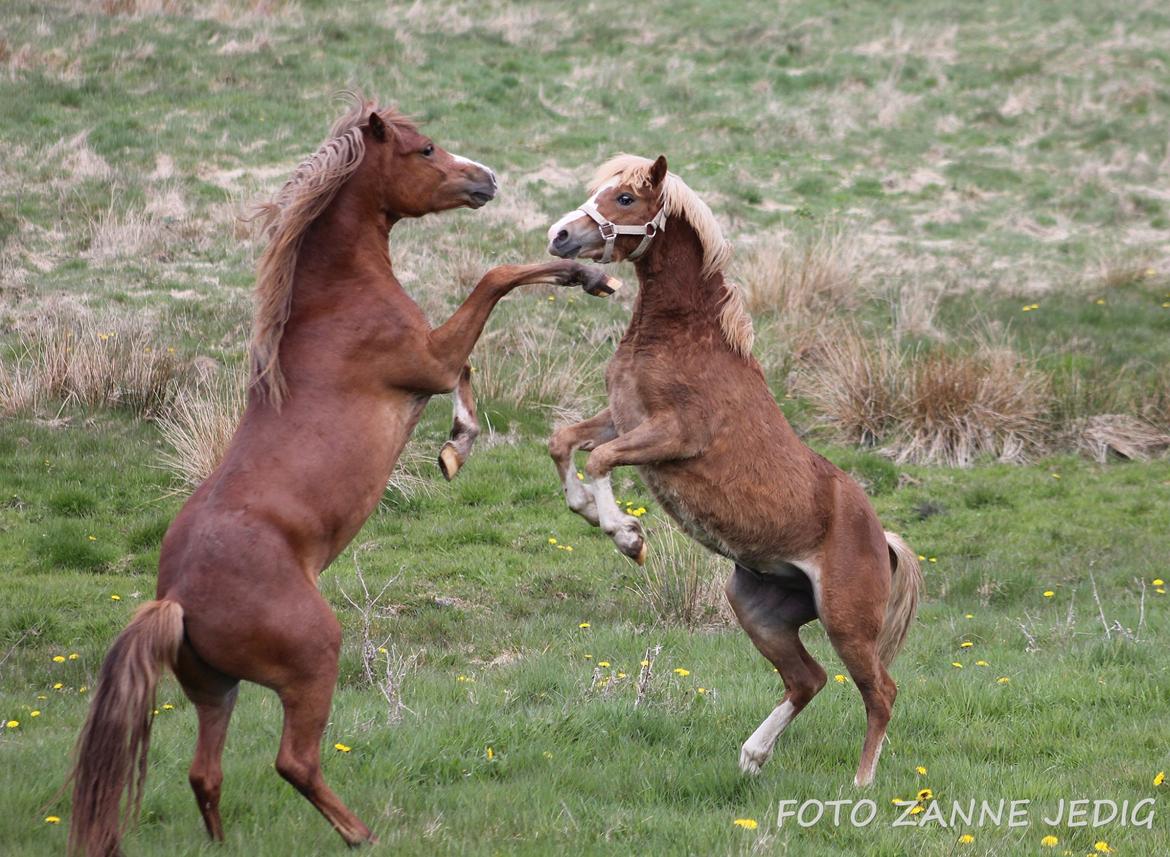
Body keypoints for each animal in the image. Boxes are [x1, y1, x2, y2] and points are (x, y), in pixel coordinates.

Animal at [65, 95, 617, 857]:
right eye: (424, 149)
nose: (487, 179)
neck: (333, 300)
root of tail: (174, 598)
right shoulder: (428, 359)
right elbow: (494, 282)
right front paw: (583, 276)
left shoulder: (435, 365)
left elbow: (474, 364)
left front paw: (456, 448)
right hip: (312, 659)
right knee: (293, 760)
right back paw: (360, 831)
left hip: (217, 690)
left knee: (206, 773)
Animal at [542, 155, 917, 791]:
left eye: (624, 197)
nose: (560, 235)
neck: (683, 336)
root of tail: (882, 538)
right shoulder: (621, 418)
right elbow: (564, 442)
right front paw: (590, 512)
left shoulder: (671, 437)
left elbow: (598, 459)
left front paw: (627, 536)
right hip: (758, 610)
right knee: (808, 680)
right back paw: (752, 756)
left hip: (846, 623)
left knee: (880, 692)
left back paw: (861, 784)